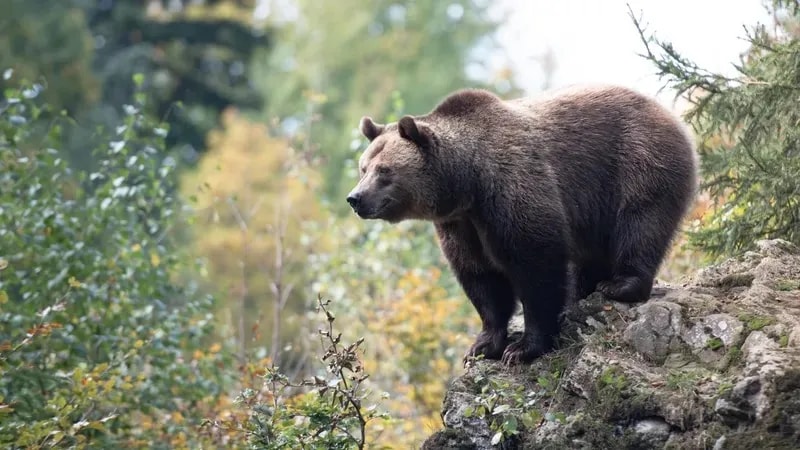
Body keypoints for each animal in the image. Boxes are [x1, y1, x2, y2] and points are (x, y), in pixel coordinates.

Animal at [346, 84, 698, 364]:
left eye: (385, 171)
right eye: (363, 168)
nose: (355, 198)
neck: (467, 183)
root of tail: (669, 113)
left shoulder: (512, 187)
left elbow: (535, 263)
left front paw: (523, 348)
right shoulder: (461, 224)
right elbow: (481, 278)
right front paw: (482, 345)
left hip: (637, 161)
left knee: (640, 223)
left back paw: (621, 284)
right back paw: (583, 291)